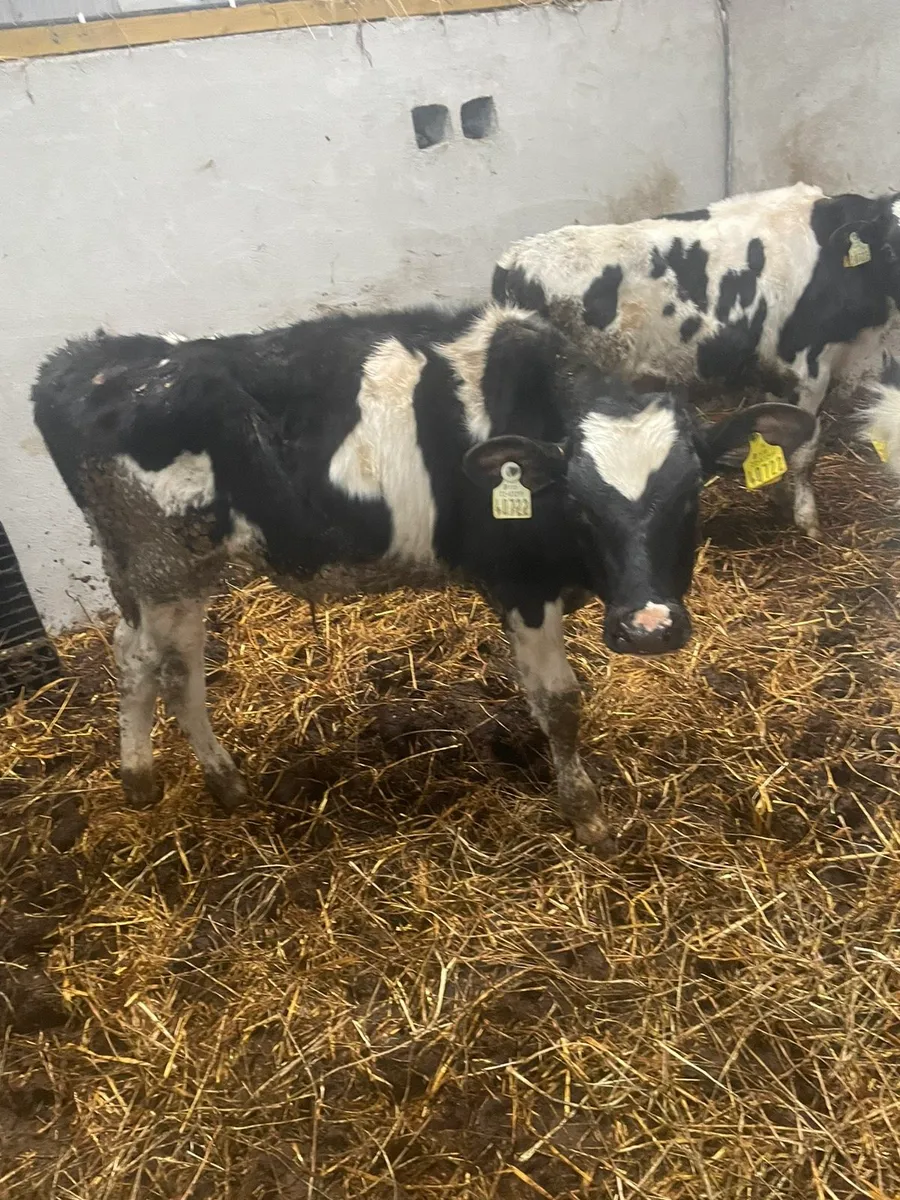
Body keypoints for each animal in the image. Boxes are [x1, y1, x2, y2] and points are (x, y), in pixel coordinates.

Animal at [31, 303, 812, 844]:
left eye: (691, 493)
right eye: (581, 504)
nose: (649, 627)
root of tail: (82, 359)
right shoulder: (520, 584)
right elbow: (560, 701)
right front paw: (586, 814)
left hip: (153, 566)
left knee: (150, 659)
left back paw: (178, 781)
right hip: (164, 560)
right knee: (161, 665)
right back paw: (187, 779)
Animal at [493, 182, 900, 540]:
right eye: (891, 248)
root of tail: (515, 257)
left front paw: (780, 499)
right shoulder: (810, 365)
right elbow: (806, 451)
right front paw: (807, 520)